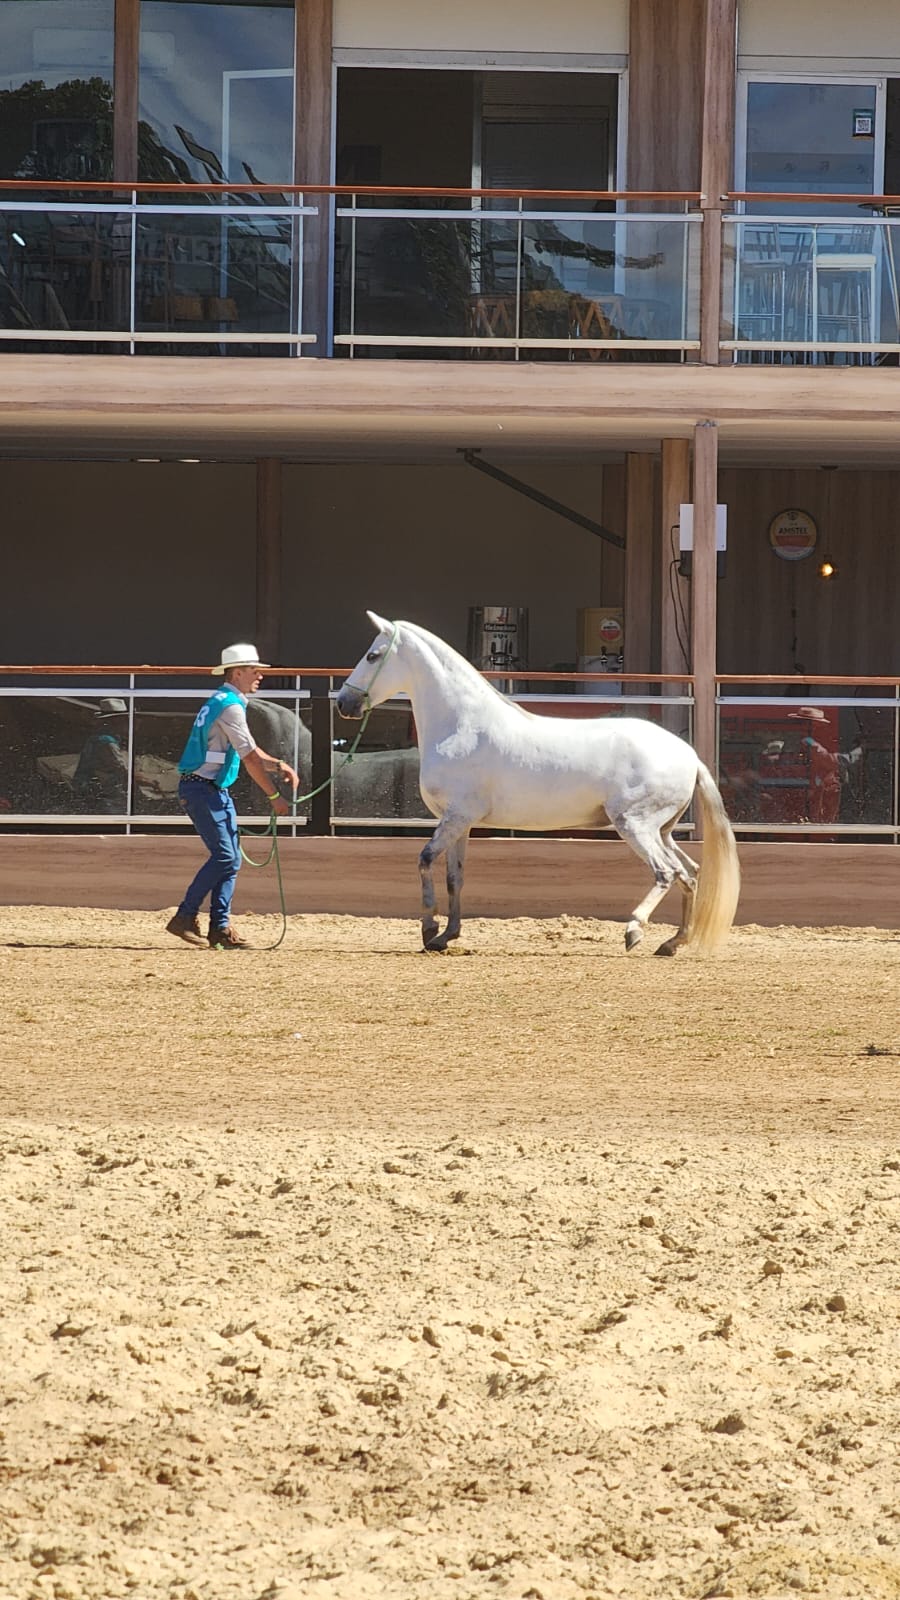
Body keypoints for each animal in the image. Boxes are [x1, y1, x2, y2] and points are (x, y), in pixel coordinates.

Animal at [336, 611, 736, 953]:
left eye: (373, 655)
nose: (344, 703)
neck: (463, 727)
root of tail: (688, 755)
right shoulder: (460, 823)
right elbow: (454, 877)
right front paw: (448, 935)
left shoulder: (455, 817)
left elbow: (424, 859)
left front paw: (429, 929)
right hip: (662, 830)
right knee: (691, 874)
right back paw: (672, 943)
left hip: (636, 825)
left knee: (666, 872)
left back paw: (634, 931)